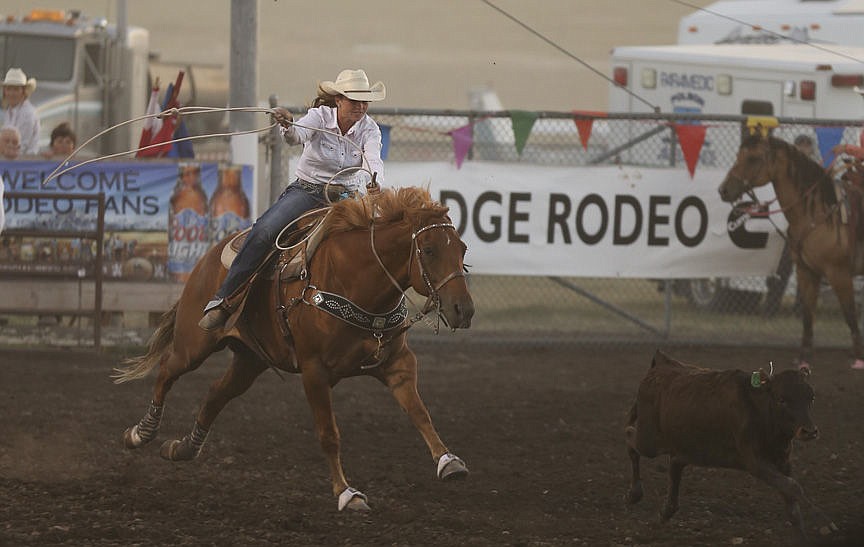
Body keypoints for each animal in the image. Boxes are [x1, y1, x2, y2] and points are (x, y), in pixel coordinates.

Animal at [112, 186, 476, 512]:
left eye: (462, 249)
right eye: (428, 250)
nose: (464, 310)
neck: (354, 278)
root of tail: (206, 260)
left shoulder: (398, 363)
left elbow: (420, 412)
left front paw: (449, 461)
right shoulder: (315, 372)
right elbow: (329, 434)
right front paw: (347, 493)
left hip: (251, 360)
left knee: (216, 392)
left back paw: (183, 448)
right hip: (194, 345)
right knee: (167, 370)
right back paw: (140, 433)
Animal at [716, 134, 864, 370]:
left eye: (753, 158)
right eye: (739, 155)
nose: (724, 190)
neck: (817, 212)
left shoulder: (838, 273)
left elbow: (849, 313)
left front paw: (858, 357)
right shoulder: (806, 271)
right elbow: (807, 314)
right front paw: (804, 357)